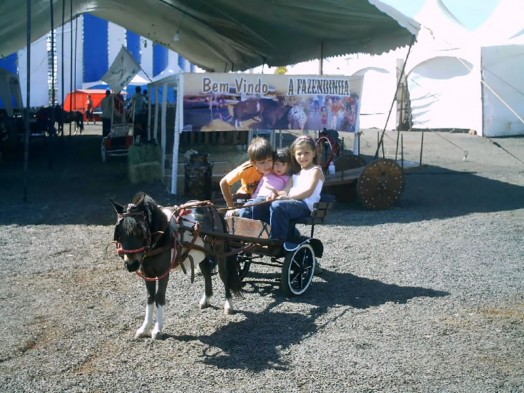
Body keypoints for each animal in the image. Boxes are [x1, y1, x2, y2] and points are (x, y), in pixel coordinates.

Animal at [112, 192, 242, 336]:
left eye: (140, 230)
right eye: (119, 232)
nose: (131, 265)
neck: (162, 237)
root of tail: (212, 208)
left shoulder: (163, 273)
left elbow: (159, 297)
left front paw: (157, 329)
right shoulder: (148, 273)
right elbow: (150, 298)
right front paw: (144, 328)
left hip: (219, 252)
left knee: (224, 276)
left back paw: (228, 304)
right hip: (203, 253)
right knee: (206, 273)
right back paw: (206, 299)